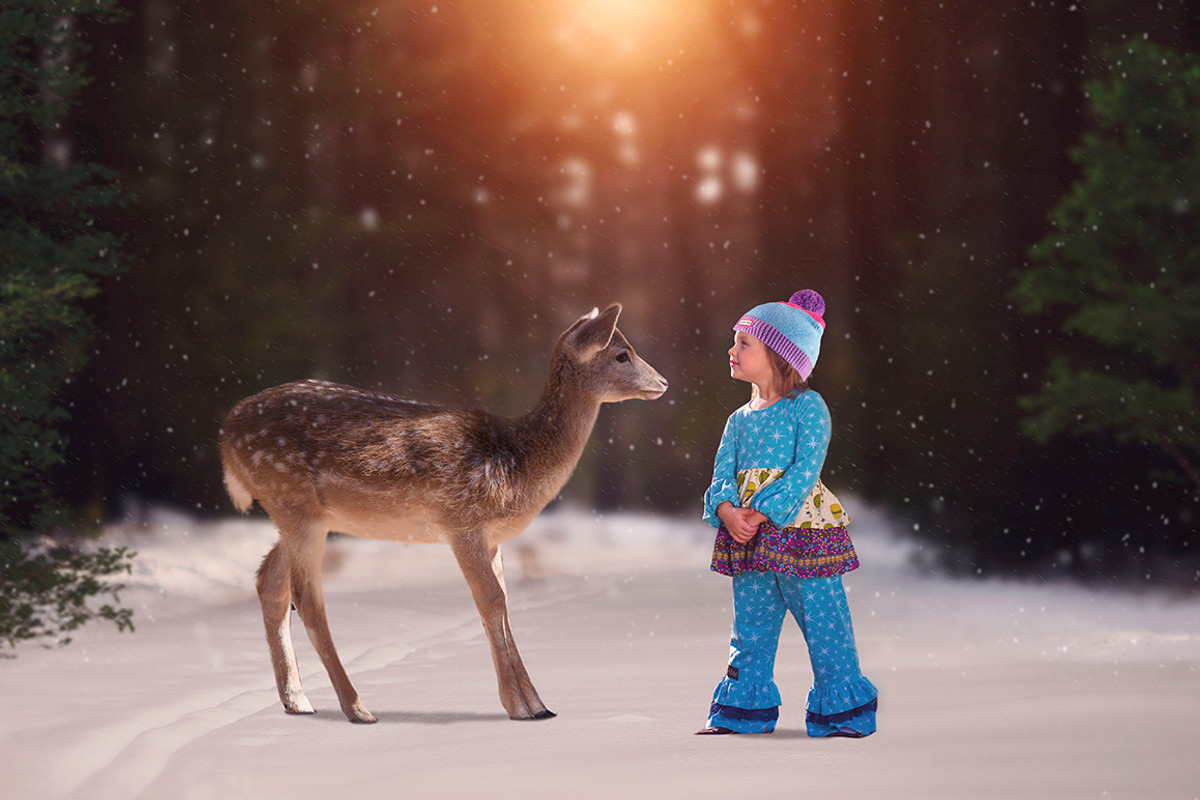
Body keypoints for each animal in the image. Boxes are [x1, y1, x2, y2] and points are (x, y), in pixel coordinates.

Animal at [219, 304, 668, 723]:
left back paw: (298, 701)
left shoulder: (493, 537)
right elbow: (491, 602)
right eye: (622, 354)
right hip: (294, 501)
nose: (663, 381)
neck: (516, 464)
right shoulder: (461, 520)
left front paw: (539, 704)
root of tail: (226, 436)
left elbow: (503, 606)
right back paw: (358, 707)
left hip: (303, 514)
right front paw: (522, 707)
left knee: (269, 582)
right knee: (307, 598)